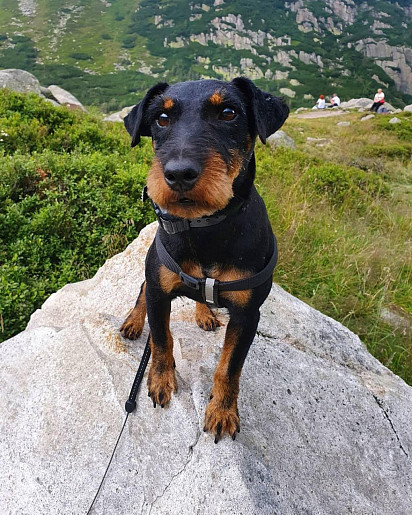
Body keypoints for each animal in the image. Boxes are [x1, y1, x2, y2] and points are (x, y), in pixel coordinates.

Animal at [120, 76, 288, 444]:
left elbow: (229, 368)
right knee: (140, 290)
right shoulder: (159, 291)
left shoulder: (247, 315)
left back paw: (204, 311)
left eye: (228, 113)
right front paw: (160, 381)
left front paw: (222, 412)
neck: (205, 228)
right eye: (161, 118)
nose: (178, 174)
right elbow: (161, 340)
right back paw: (133, 321)